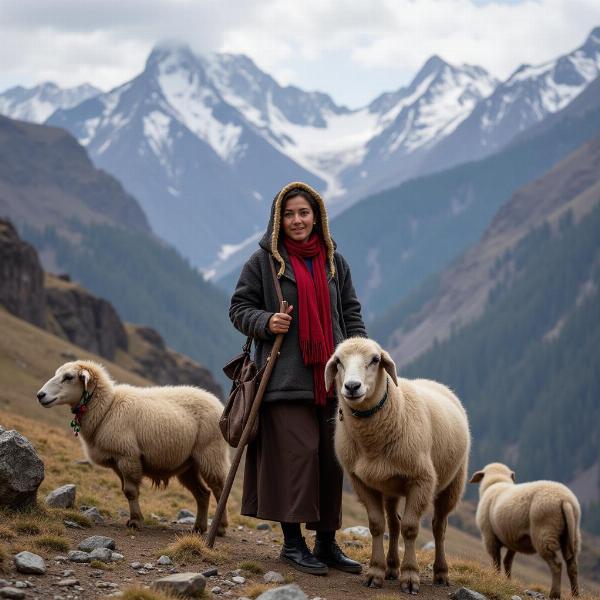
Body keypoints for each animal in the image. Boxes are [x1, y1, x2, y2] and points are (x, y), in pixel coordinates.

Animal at [37, 360, 230, 536]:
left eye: (69, 377)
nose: (40, 395)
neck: (107, 408)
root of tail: (218, 403)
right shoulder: (116, 461)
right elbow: (126, 491)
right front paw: (134, 518)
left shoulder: (127, 456)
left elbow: (130, 492)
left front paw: (136, 521)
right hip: (188, 464)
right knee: (203, 493)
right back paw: (199, 528)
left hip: (211, 453)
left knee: (219, 490)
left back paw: (220, 528)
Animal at [326, 338, 472, 592]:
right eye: (338, 361)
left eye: (375, 359)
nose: (352, 387)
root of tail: (434, 383)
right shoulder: (361, 481)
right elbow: (377, 525)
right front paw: (376, 572)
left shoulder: (422, 480)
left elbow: (411, 529)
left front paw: (410, 576)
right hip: (389, 484)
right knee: (394, 524)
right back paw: (392, 567)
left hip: (454, 482)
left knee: (438, 527)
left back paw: (440, 573)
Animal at [472, 462, 580, 596]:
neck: (497, 482)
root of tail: (565, 500)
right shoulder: (512, 539)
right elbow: (507, 561)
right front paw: (507, 581)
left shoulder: (489, 537)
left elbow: (496, 561)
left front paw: (495, 578)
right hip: (572, 535)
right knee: (572, 566)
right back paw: (575, 594)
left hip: (544, 533)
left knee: (557, 565)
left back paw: (554, 594)